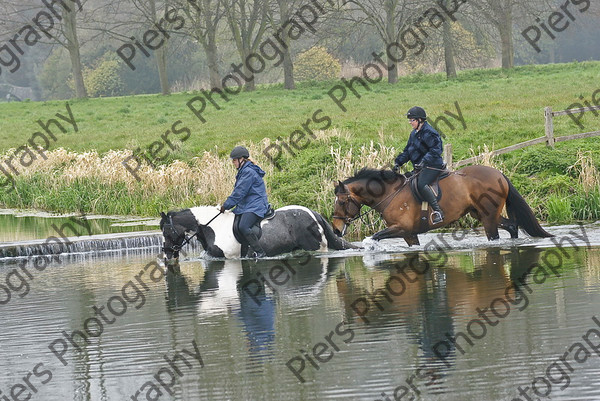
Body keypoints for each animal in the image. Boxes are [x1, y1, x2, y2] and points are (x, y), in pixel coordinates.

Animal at [332, 165, 552, 245]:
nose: (335, 230)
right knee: (512, 226)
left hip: (488, 217)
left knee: (496, 236)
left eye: (342, 201)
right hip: (481, 214)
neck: (390, 194)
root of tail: (499, 174)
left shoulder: (401, 228)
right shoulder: (409, 234)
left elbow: (374, 237)